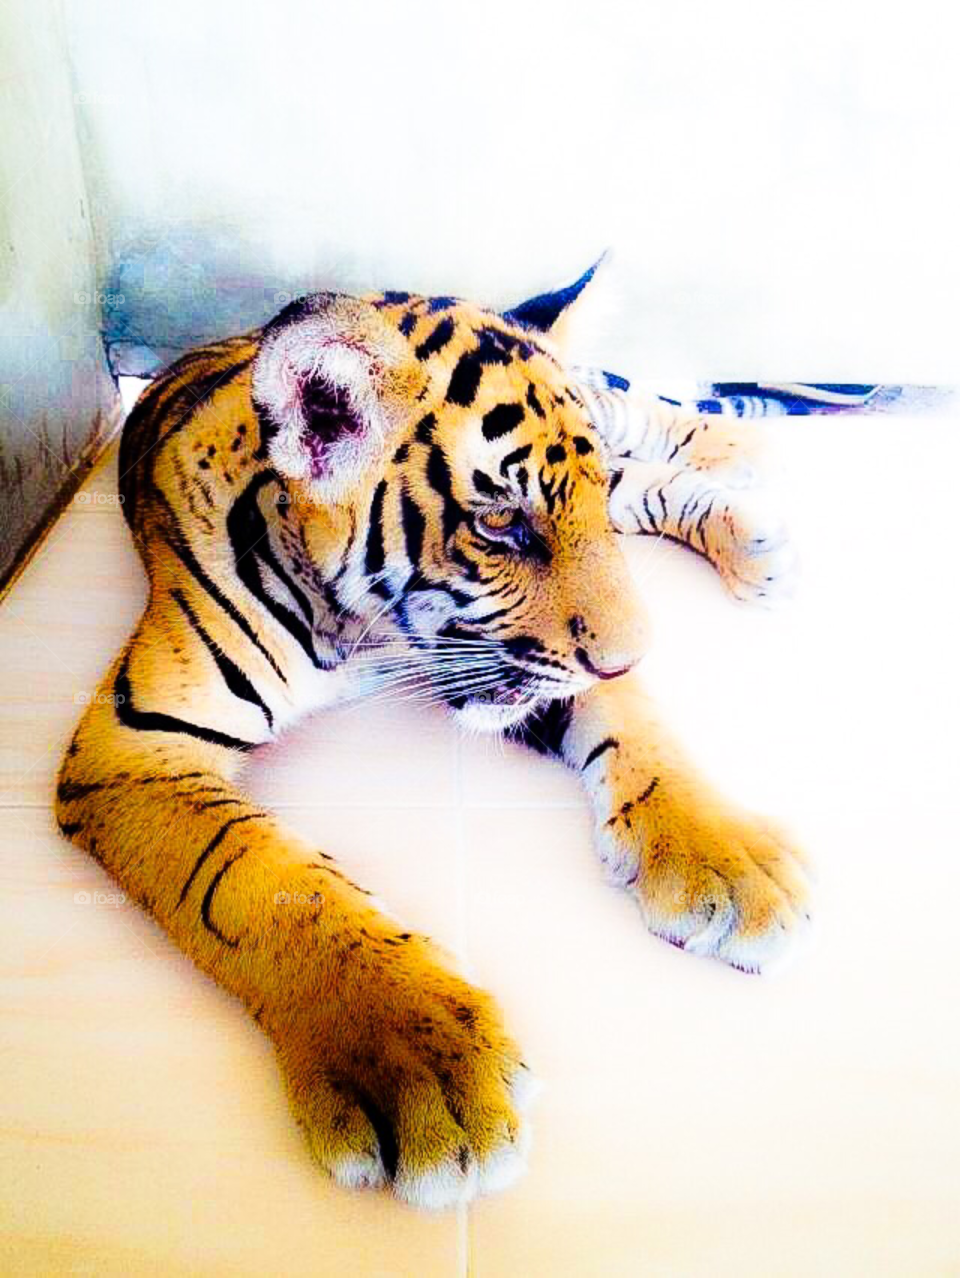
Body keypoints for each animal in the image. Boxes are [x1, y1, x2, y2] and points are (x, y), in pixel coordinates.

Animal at [55, 267, 809, 1210]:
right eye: (501, 526)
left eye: (576, 512)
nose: (631, 654)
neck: (364, 631)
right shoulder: (136, 742)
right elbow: (265, 880)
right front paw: (419, 1064)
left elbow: (633, 725)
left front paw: (727, 860)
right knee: (651, 477)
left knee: (644, 432)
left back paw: (744, 460)